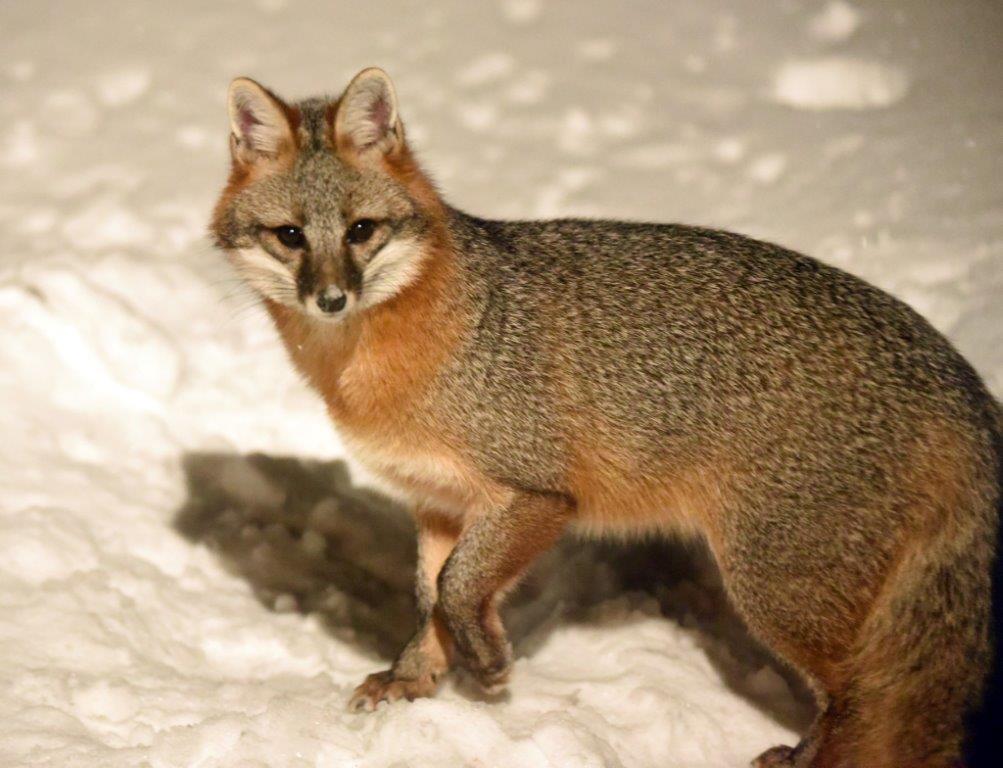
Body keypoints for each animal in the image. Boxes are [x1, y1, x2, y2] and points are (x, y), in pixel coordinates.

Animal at [210, 67, 1001, 767]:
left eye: (361, 230)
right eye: (289, 236)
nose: (331, 299)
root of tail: (960, 377)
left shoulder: (538, 493)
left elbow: (457, 587)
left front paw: (487, 664)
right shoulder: (439, 503)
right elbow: (430, 597)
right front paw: (413, 681)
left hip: (775, 590)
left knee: (856, 702)